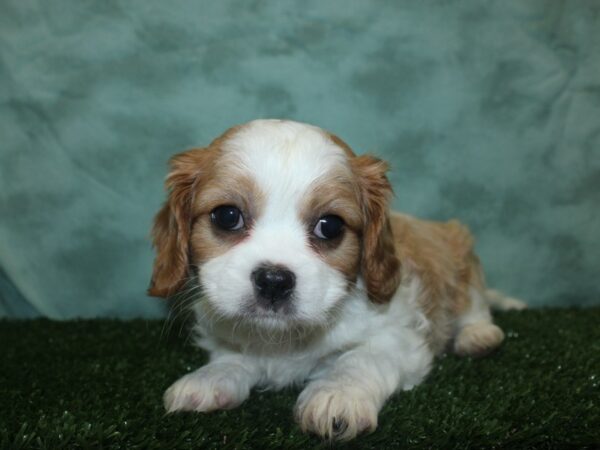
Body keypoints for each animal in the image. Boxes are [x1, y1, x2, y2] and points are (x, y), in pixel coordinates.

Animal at [148, 118, 524, 440]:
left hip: (460, 258)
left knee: (474, 304)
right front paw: (210, 377)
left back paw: (478, 335)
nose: (274, 280)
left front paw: (337, 393)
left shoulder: (400, 337)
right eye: (227, 216)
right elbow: (233, 357)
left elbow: (360, 359)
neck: (285, 339)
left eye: (330, 226)